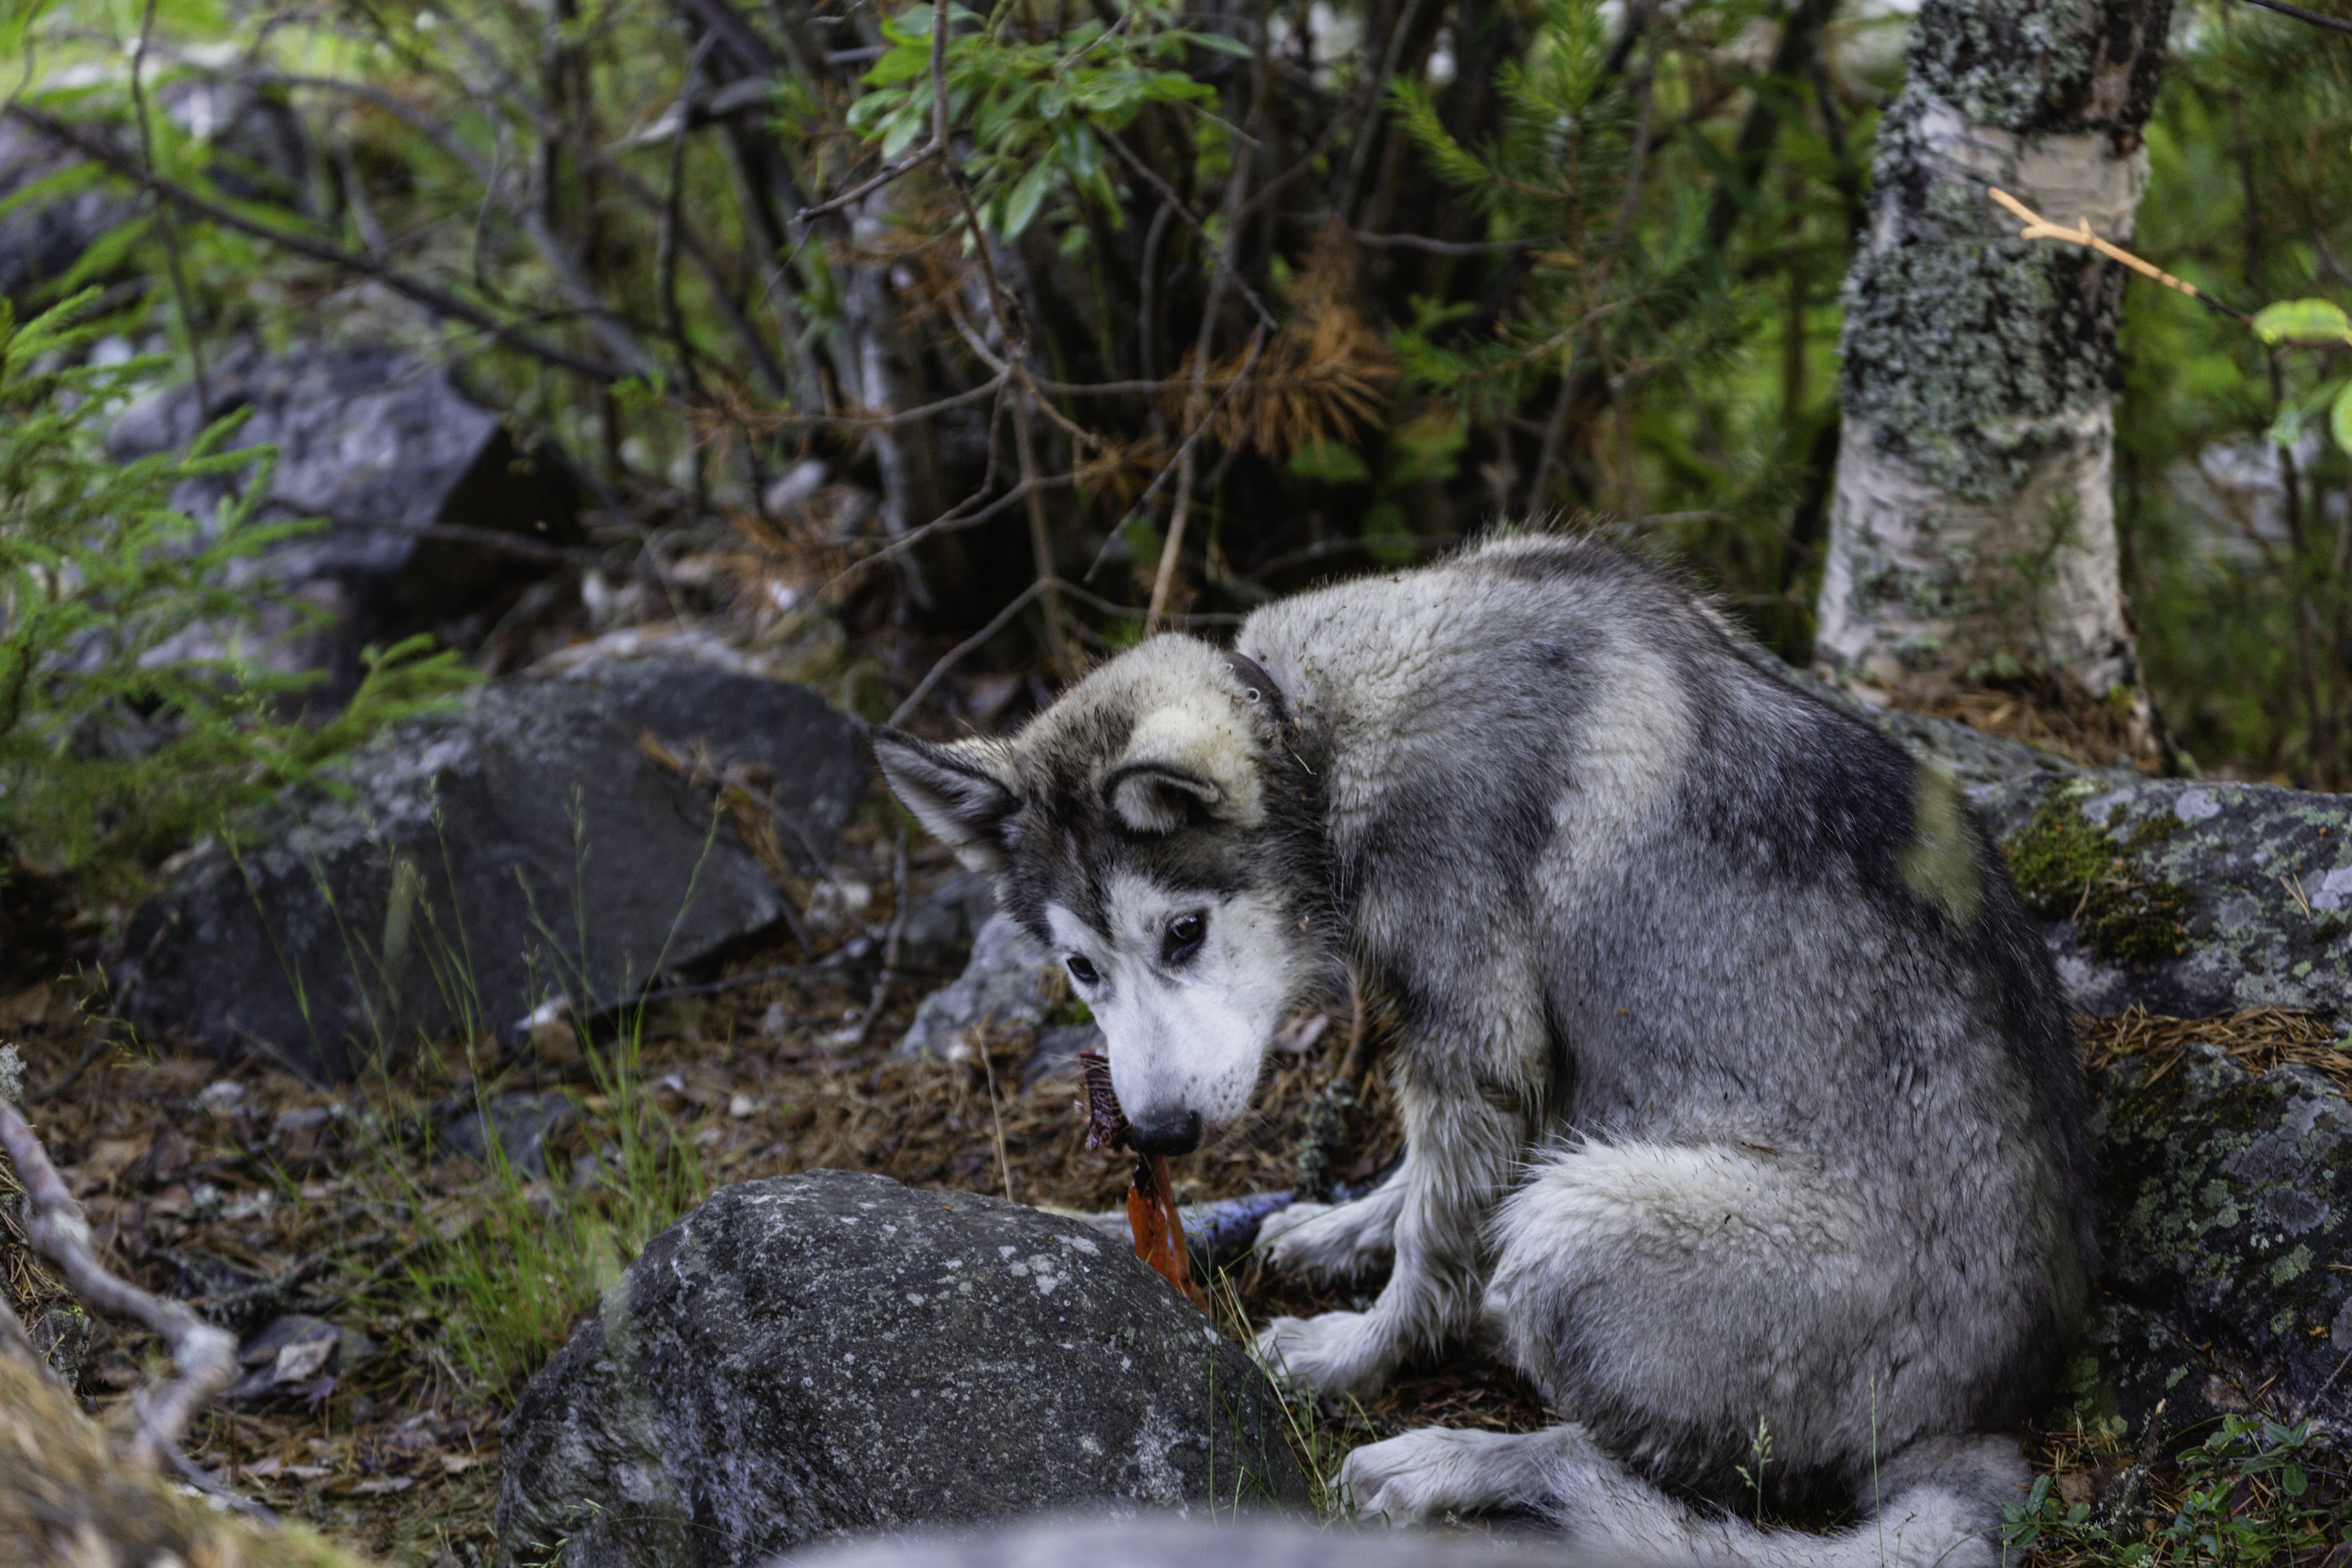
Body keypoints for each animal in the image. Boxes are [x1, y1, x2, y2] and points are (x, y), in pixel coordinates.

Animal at [879, 540, 2097, 1568]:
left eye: (1183, 933)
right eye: (1081, 969)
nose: (1159, 1134)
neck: (1316, 736)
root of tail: (1970, 1424)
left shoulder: (1477, 1036)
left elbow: (1435, 1250)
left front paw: (1357, 1357)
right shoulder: (1504, 1061)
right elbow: (1423, 1187)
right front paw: (1344, 1226)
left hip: (1579, 1220)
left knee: (1602, 1457)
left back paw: (1448, 1459)